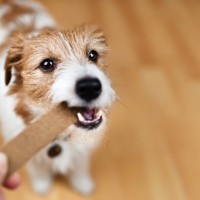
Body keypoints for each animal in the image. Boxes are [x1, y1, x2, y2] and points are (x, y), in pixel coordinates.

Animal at [0, 0, 114, 195]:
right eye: (46, 64)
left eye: (93, 55)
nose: (91, 87)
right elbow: (38, 168)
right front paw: (42, 185)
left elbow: (80, 165)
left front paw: (82, 183)